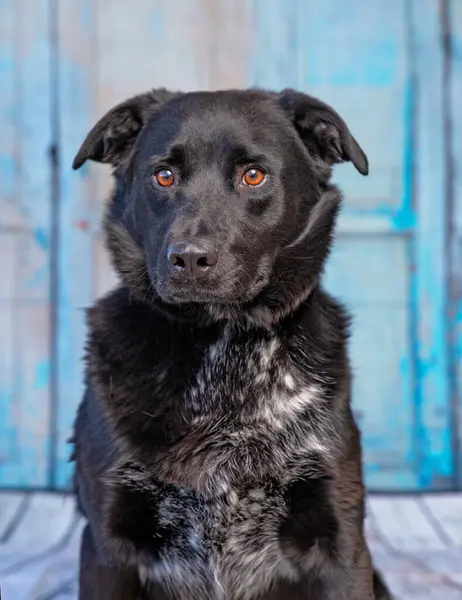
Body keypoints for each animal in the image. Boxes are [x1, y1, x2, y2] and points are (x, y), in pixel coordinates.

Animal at [70, 85, 392, 600]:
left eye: (253, 175)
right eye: (163, 176)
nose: (189, 258)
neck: (225, 353)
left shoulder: (339, 542)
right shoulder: (106, 545)